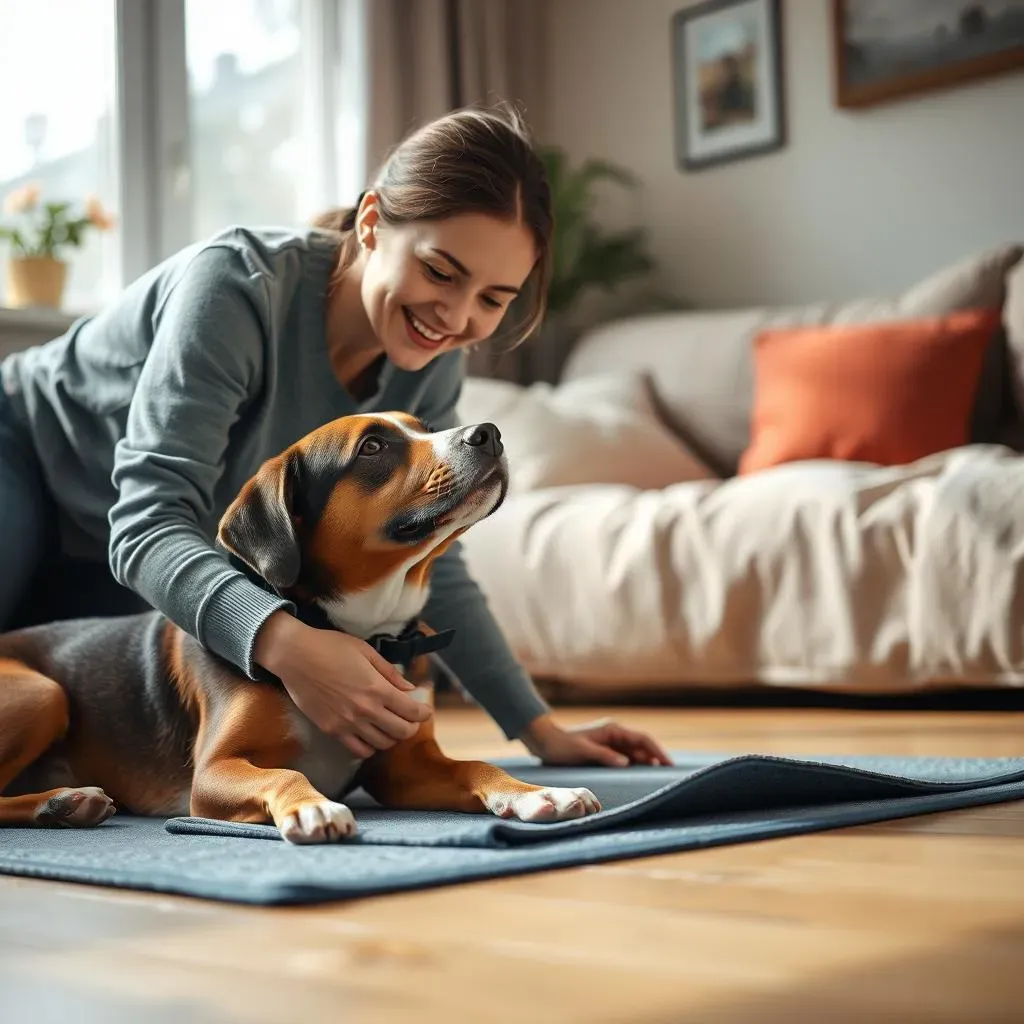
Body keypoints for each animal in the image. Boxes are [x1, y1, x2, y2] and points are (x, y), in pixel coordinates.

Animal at [0, 411, 602, 843]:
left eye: (427, 427)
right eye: (372, 447)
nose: (489, 433)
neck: (355, 631)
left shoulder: (404, 768)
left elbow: (477, 763)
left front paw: (533, 791)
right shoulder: (213, 773)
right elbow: (285, 774)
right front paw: (313, 806)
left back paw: (61, 804)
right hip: (43, 691)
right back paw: (62, 803)